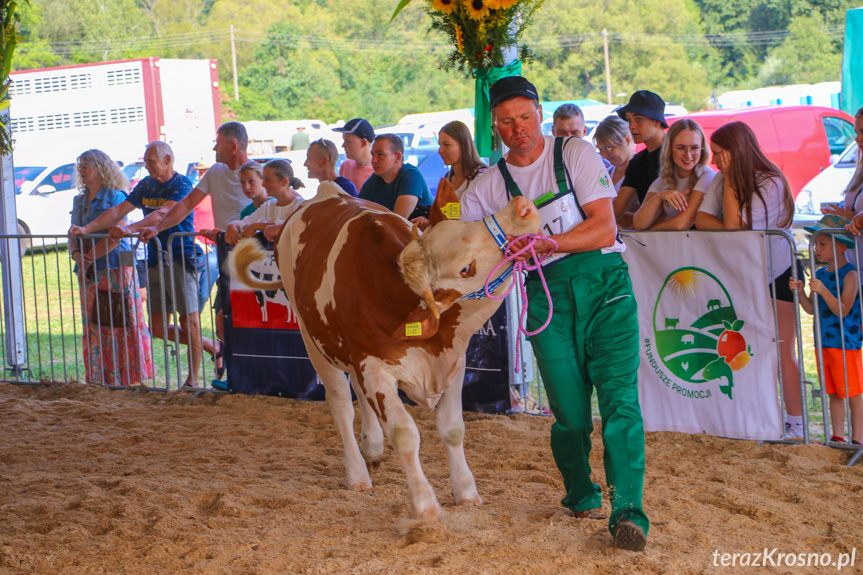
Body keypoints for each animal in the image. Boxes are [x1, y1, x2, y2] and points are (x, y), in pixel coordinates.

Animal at [233, 180, 536, 520]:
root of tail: (326, 190)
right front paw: (424, 504)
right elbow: (404, 434)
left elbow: (453, 428)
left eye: (470, 224)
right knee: (341, 401)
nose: (522, 207)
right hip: (312, 337)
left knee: (356, 391)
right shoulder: (374, 368)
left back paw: (372, 447)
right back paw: (357, 474)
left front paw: (466, 492)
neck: (395, 299)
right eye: (465, 268)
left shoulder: (451, 361)